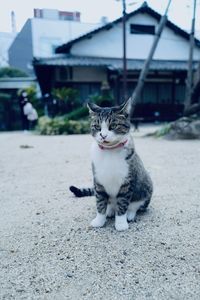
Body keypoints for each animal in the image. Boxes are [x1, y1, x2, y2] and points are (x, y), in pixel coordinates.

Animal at [70, 99, 153, 231]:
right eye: (97, 127)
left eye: (113, 126)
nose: (103, 135)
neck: (110, 151)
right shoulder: (98, 181)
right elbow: (100, 203)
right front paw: (99, 220)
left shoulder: (126, 182)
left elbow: (122, 204)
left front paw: (121, 223)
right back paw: (110, 211)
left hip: (146, 187)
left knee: (136, 206)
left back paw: (130, 214)